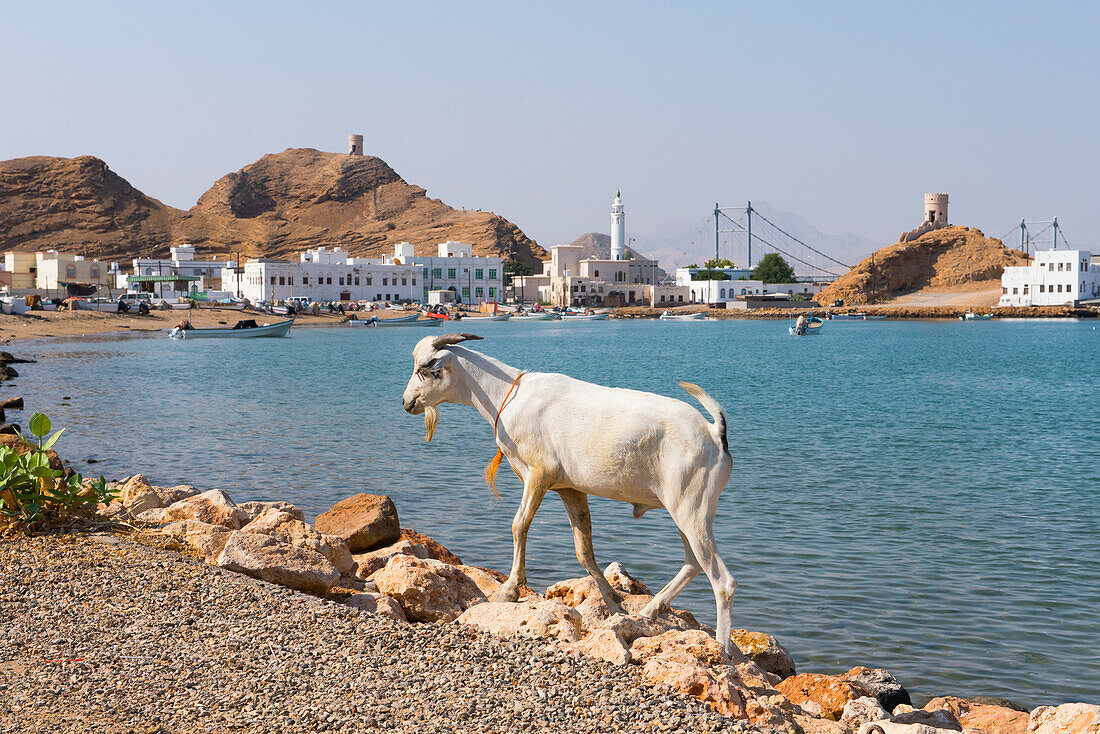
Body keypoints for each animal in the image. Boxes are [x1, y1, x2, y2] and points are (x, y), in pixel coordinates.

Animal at [400, 332, 734, 655]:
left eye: (424, 368)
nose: (406, 402)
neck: (506, 394)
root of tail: (713, 434)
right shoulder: (569, 488)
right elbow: (584, 550)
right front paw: (614, 603)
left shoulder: (538, 474)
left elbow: (519, 525)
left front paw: (509, 590)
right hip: (685, 510)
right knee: (693, 562)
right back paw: (650, 610)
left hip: (691, 509)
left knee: (722, 581)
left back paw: (722, 648)